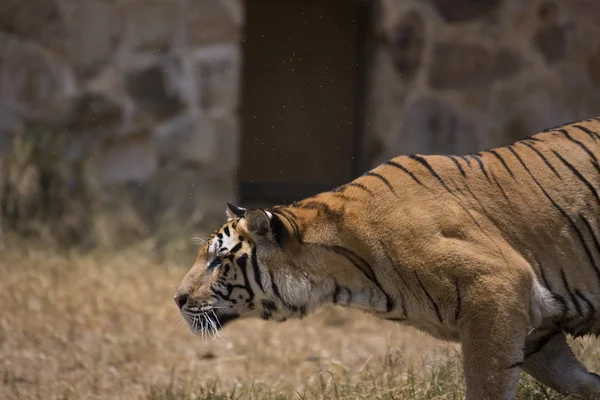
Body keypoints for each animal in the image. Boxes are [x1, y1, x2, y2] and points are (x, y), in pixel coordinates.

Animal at [173, 116, 600, 400]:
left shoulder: (496, 288)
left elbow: (487, 383)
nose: (177, 299)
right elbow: (576, 379)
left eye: (218, 261)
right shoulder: (533, 326)